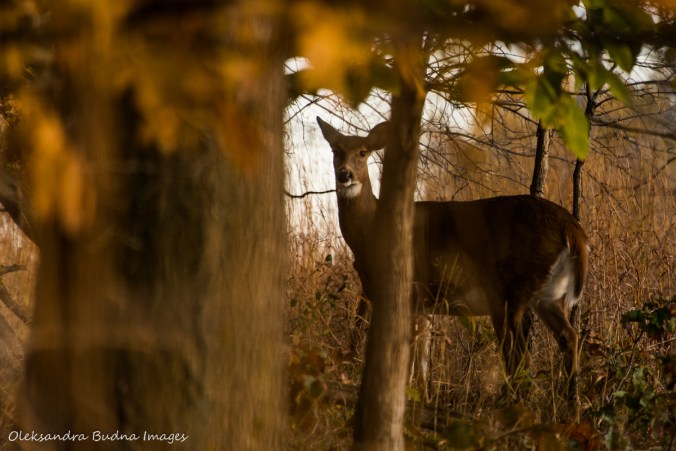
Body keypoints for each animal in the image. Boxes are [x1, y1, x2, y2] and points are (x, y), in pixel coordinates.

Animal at [316, 116, 589, 410]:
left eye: (363, 152)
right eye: (335, 150)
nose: (345, 174)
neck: (371, 231)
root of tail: (572, 229)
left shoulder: (410, 289)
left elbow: (410, 359)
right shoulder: (422, 302)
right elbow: (421, 362)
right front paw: (422, 400)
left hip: (510, 290)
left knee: (521, 356)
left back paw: (507, 406)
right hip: (547, 295)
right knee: (568, 338)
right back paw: (571, 407)